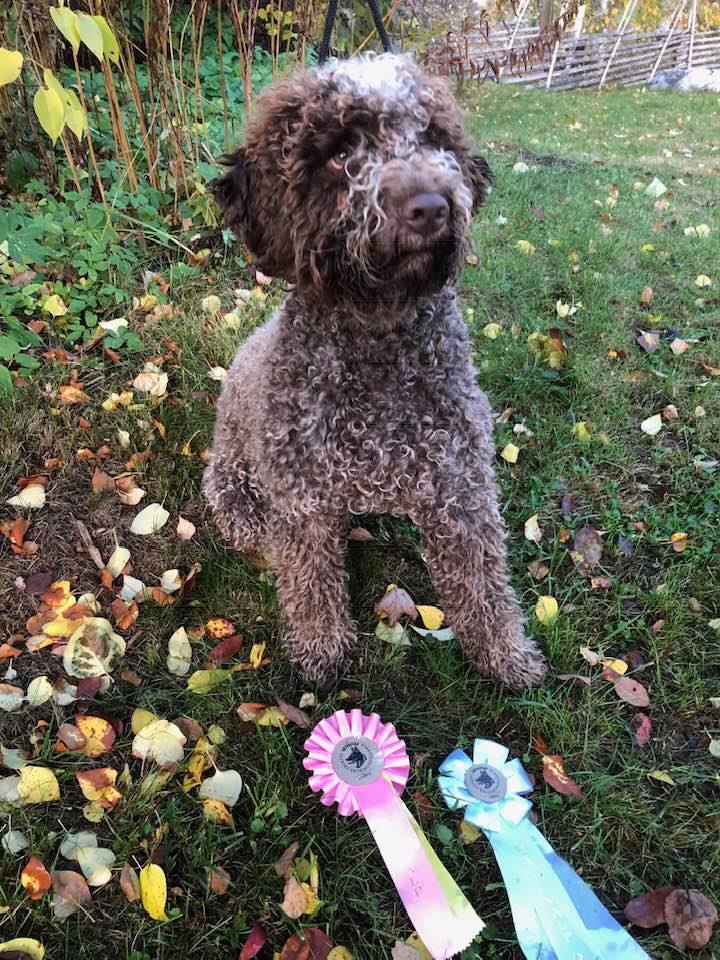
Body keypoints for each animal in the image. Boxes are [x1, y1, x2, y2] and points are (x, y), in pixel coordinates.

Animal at [205, 52, 548, 688]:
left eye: (433, 138)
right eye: (341, 153)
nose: (432, 207)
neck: (376, 340)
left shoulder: (461, 486)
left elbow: (483, 581)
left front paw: (505, 653)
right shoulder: (302, 499)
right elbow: (310, 581)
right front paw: (321, 648)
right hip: (238, 495)